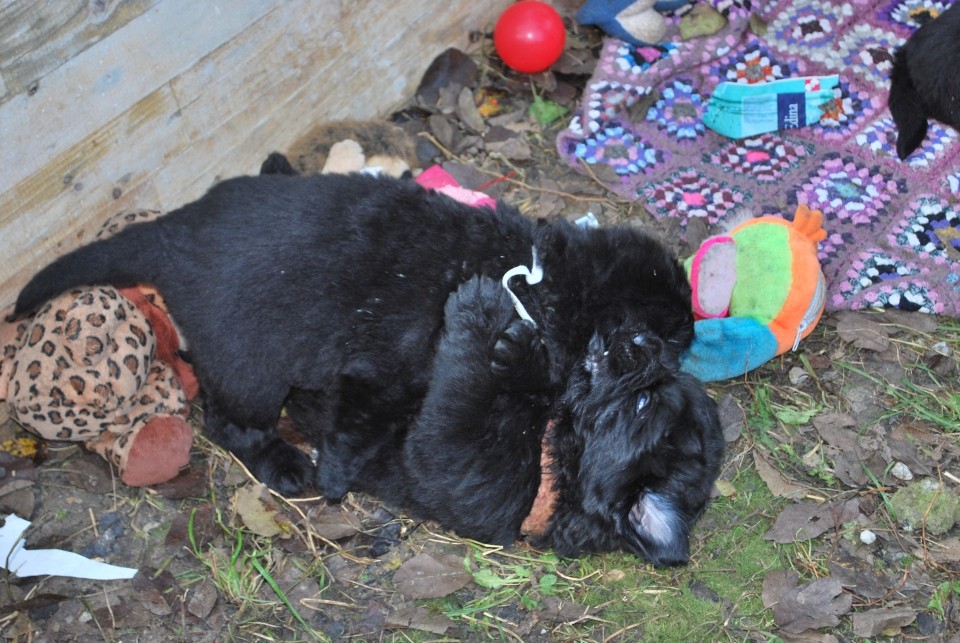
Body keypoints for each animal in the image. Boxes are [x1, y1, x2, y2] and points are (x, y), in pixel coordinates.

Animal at [13, 174, 720, 568]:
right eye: (659, 339)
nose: (681, 353)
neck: (542, 279)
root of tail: (171, 236)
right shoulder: (392, 364)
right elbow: (366, 424)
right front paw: (335, 474)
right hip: (253, 370)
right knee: (228, 423)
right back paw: (284, 463)